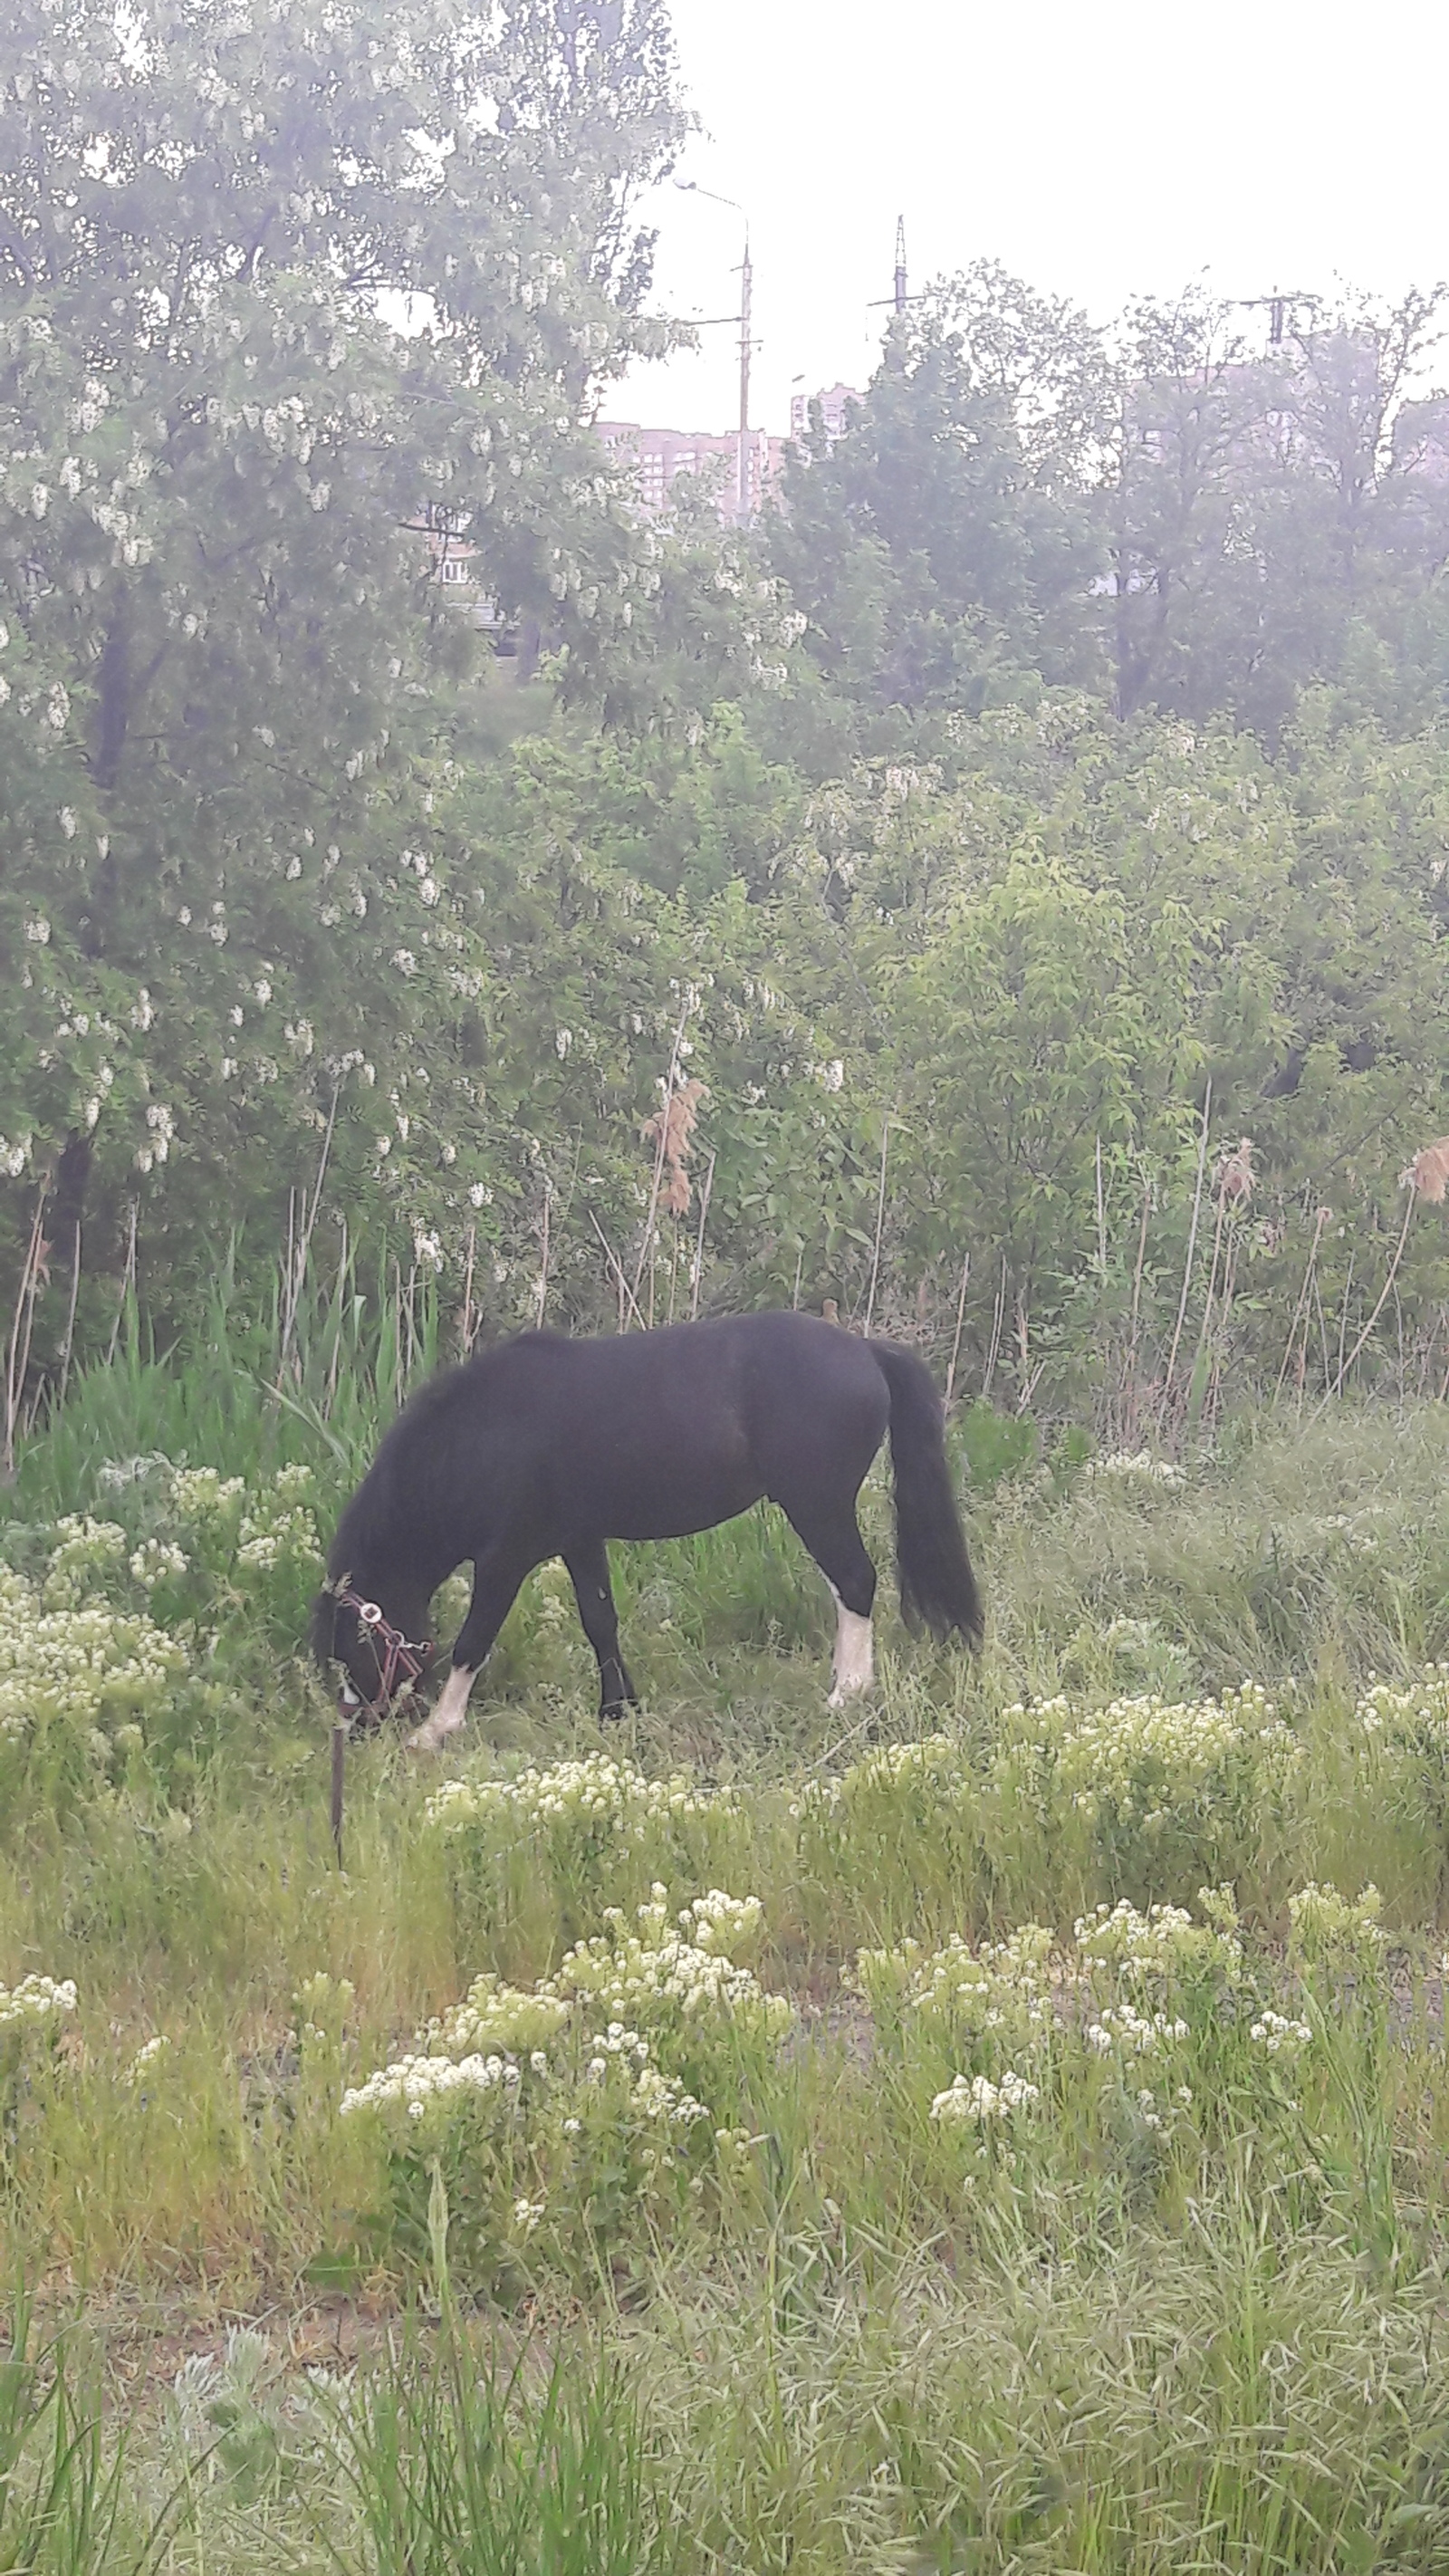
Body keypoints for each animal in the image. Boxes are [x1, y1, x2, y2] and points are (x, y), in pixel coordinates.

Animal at [310, 1308, 983, 1751]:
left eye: (352, 1647)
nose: (358, 1729)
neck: (487, 1433)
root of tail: (866, 1351)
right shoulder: (579, 1542)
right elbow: (600, 1622)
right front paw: (618, 1709)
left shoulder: (507, 1557)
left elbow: (475, 1640)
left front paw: (435, 1731)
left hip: (816, 1507)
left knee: (856, 1583)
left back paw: (848, 1694)